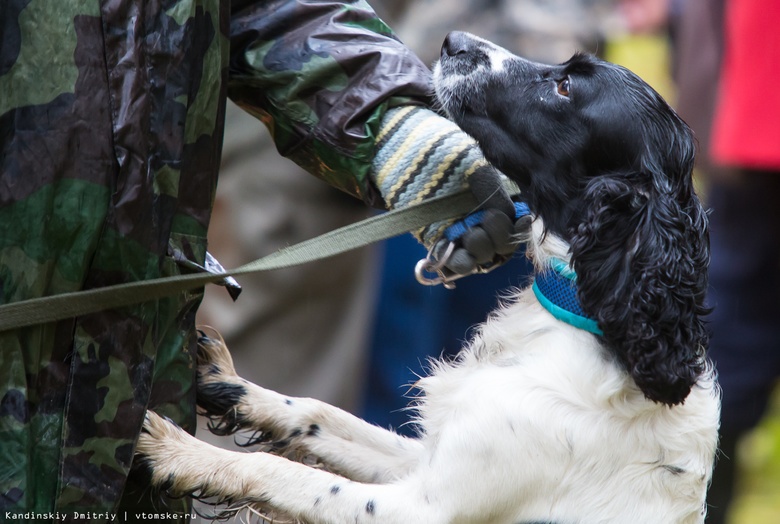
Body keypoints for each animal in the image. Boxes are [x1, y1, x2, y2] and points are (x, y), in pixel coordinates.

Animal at [137, 33, 724, 524]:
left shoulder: (423, 508)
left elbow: (282, 472)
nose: (455, 40)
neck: (584, 321)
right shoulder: (425, 460)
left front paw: (177, 452)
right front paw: (224, 381)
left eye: (564, 88)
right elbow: (315, 413)